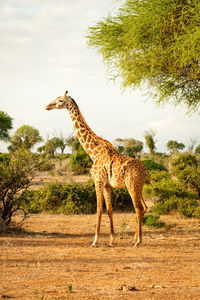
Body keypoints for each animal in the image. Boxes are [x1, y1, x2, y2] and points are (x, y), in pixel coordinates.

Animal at [45, 90, 152, 247]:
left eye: (60, 100)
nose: (47, 106)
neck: (93, 152)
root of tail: (146, 171)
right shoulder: (107, 184)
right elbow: (110, 210)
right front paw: (111, 240)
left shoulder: (98, 180)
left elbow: (98, 210)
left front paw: (95, 241)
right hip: (139, 186)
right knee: (144, 207)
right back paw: (134, 239)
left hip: (132, 185)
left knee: (138, 208)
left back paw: (137, 242)